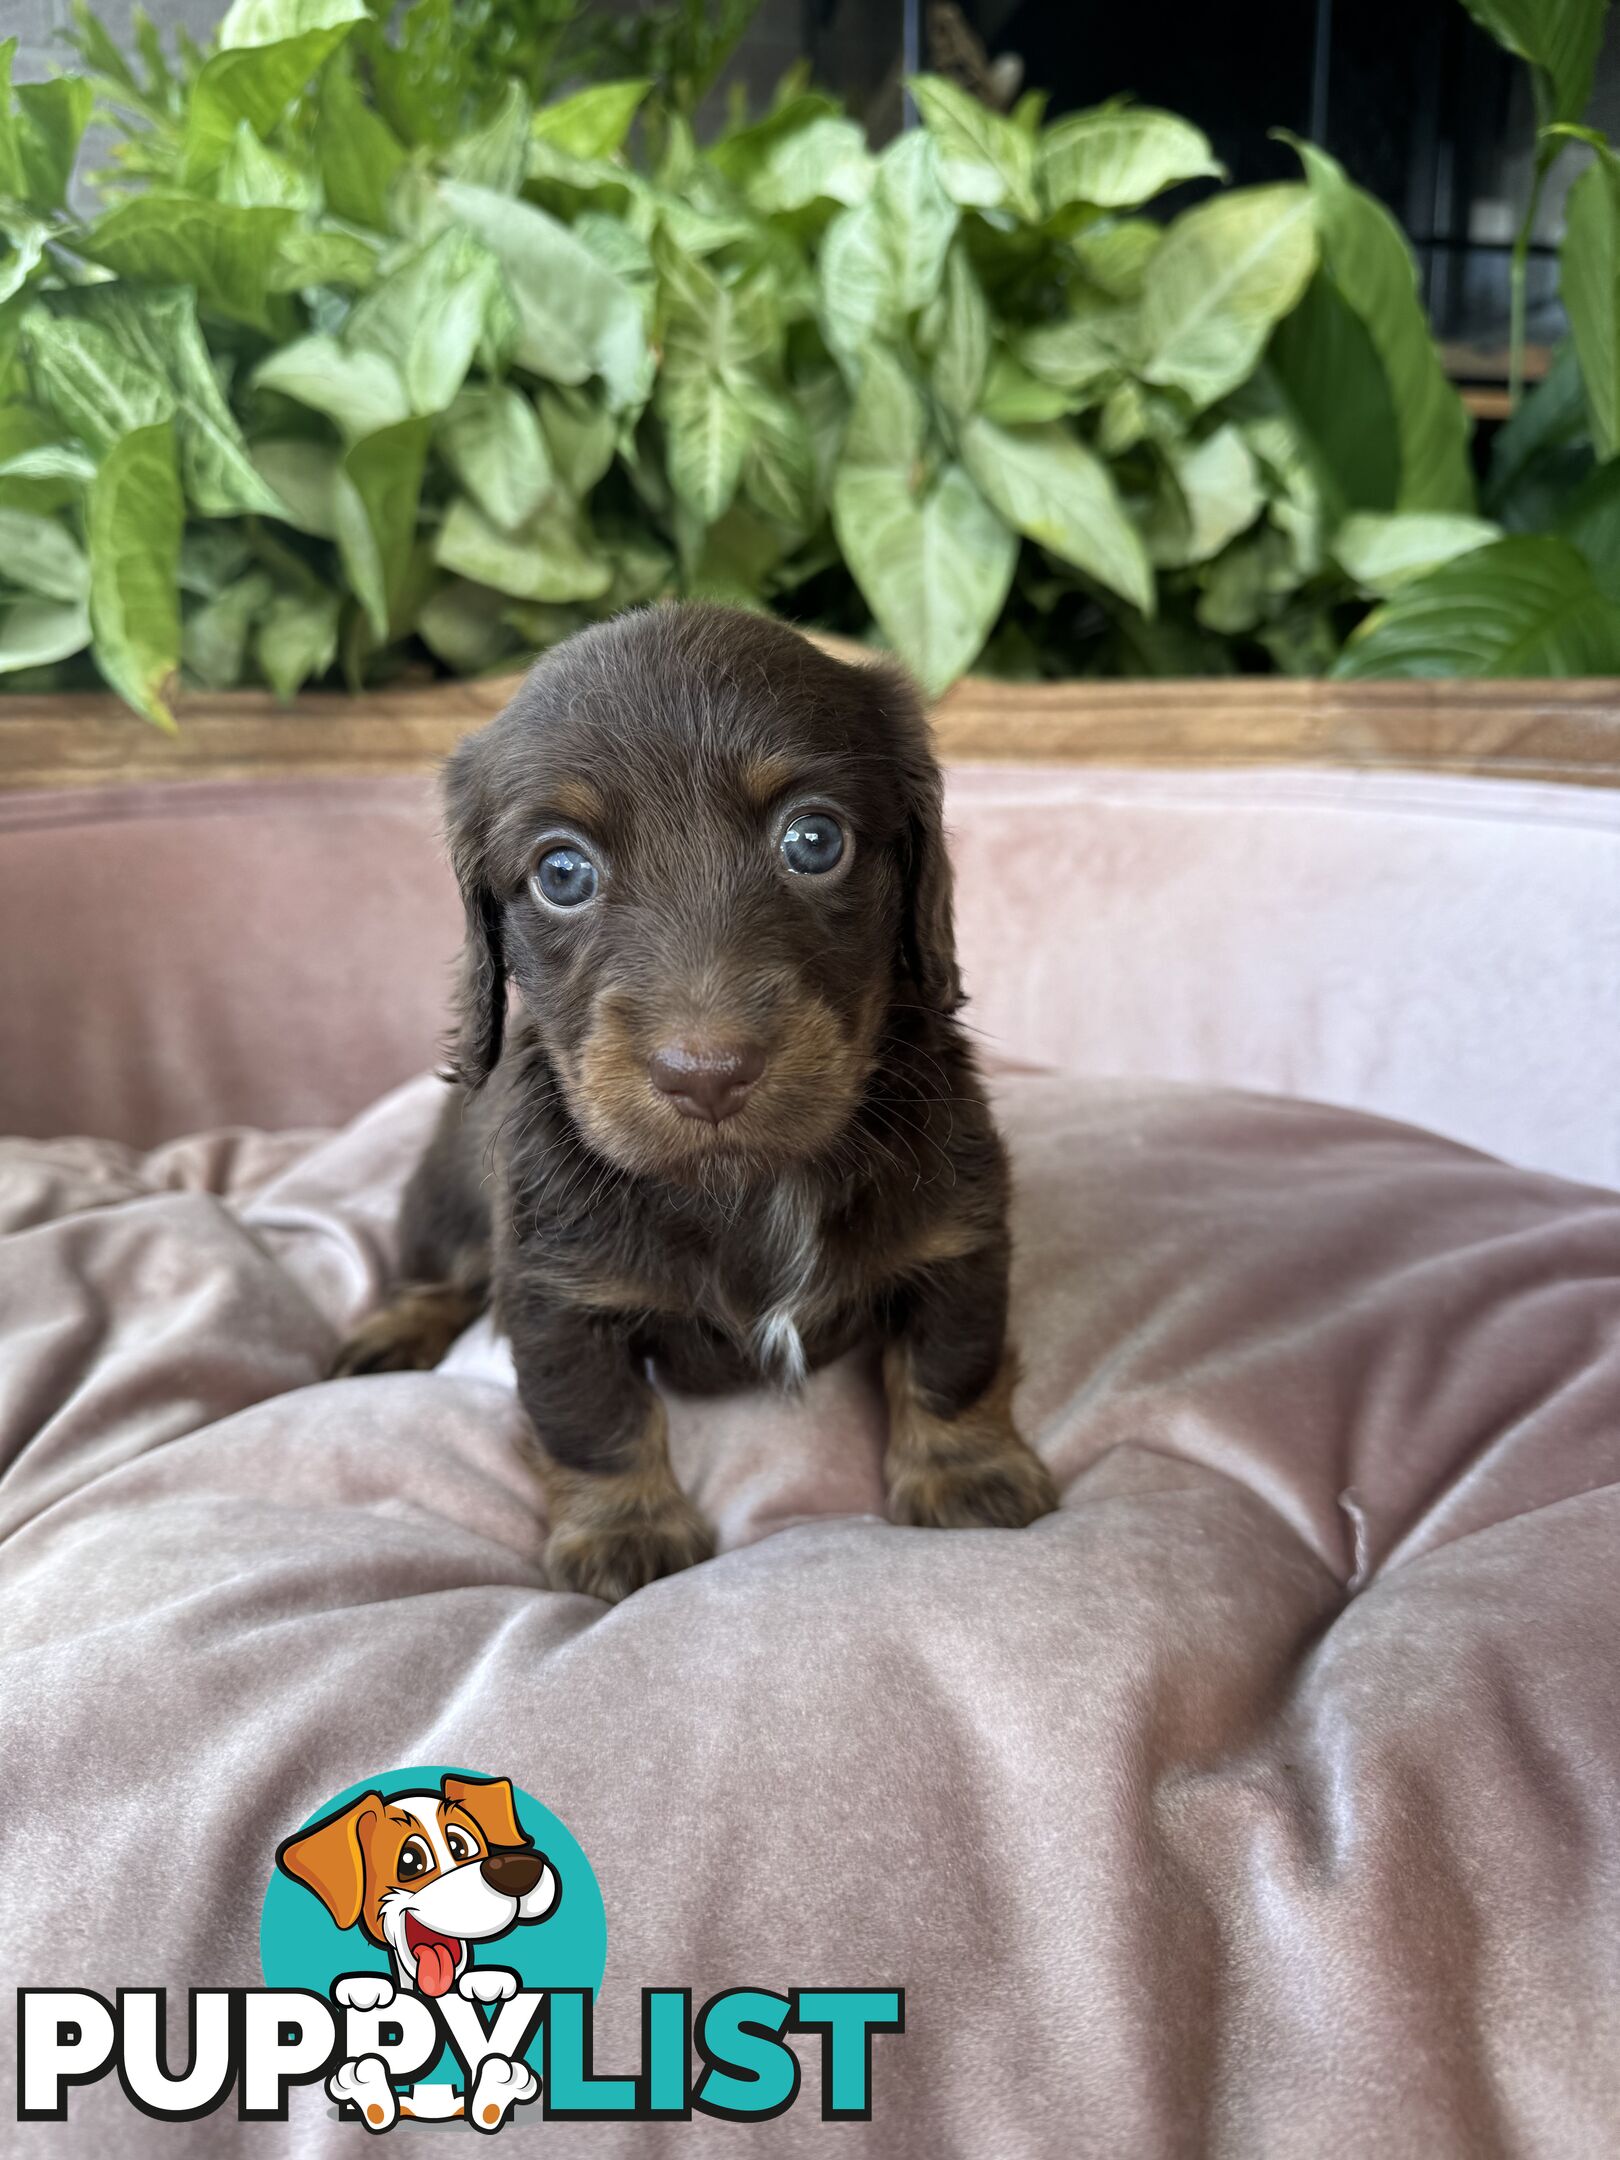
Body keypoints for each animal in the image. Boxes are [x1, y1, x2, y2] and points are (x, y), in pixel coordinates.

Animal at [336, 600, 1058, 1598]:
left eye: (814, 840)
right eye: (562, 873)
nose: (707, 1072)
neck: (746, 1186)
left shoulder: (962, 1240)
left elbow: (952, 1362)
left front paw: (967, 1471)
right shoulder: (559, 1299)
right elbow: (593, 1420)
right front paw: (626, 1530)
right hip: (441, 1202)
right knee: (441, 1273)